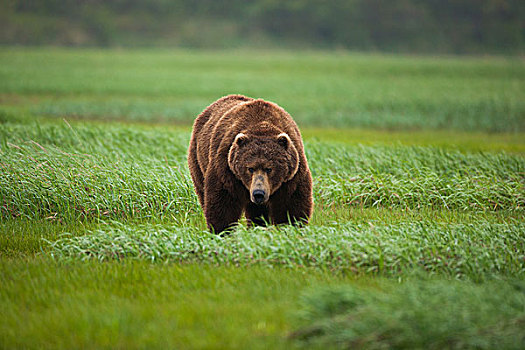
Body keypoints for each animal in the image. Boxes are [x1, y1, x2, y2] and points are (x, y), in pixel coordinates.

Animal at [187, 94, 312, 234]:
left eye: (269, 169)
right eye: (250, 168)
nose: (259, 193)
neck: (262, 126)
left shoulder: (292, 175)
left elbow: (290, 205)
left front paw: (291, 227)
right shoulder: (227, 168)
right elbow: (223, 203)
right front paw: (222, 231)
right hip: (198, 158)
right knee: (202, 190)